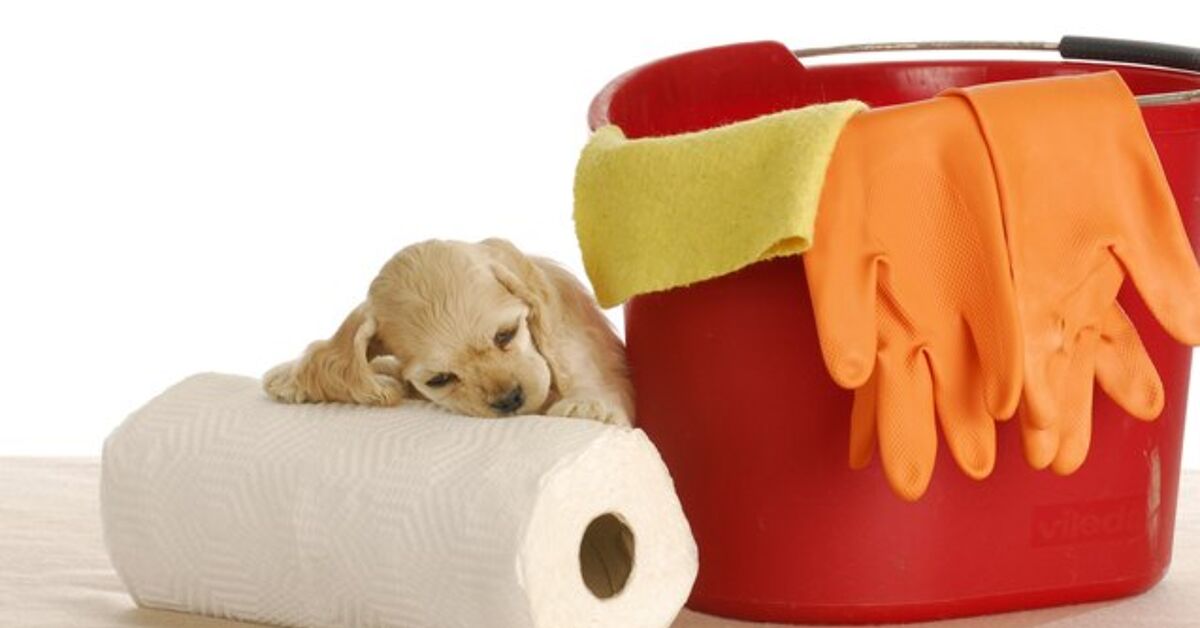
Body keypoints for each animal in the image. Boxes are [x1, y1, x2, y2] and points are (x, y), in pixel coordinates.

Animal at [263, 238, 634, 426]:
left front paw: (588, 404)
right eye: (439, 379)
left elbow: (578, 362)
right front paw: (290, 377)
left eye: (505, 334)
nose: (508, 400)